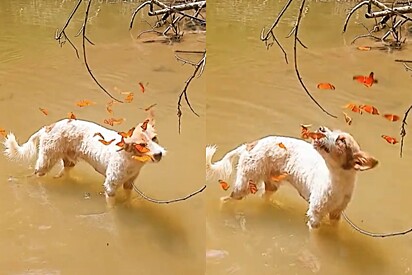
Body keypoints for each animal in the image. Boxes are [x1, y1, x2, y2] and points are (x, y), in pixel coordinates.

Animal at [2, 117, 166, 209]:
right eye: (142, 145)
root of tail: (47, 127)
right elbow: (111, 207)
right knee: (35, 176)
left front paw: (129, 205)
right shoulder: (110, 186)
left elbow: (128, 198)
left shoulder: (129, 183)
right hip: (45, 162)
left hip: (68, 160)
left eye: (154, 138)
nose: (159, 154)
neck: (131, 158)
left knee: (65, 171)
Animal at [208, 126, 378, 229]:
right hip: (245, 185)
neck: (337, 181)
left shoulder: (336, 214)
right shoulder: (315, 216)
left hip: (271, 184)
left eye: (341, 140)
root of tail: (249, 145)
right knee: (225, 199)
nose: (321, 128)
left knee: (264, 197)